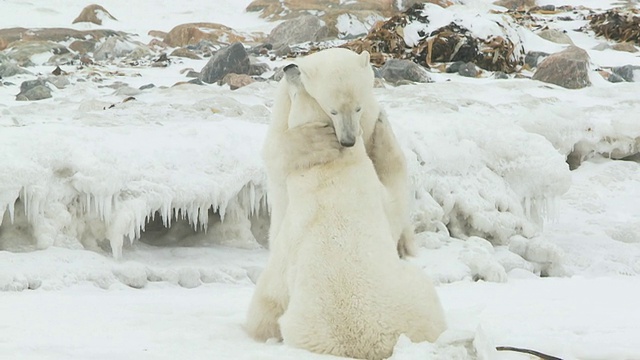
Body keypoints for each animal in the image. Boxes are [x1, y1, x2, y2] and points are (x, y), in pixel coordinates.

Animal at [262, 47, 418, 258]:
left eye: (358, 107)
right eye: (333, 111)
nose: (348, 140)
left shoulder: (367, 117)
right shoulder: (283, 107)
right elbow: (275, 152)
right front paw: (319, 140)